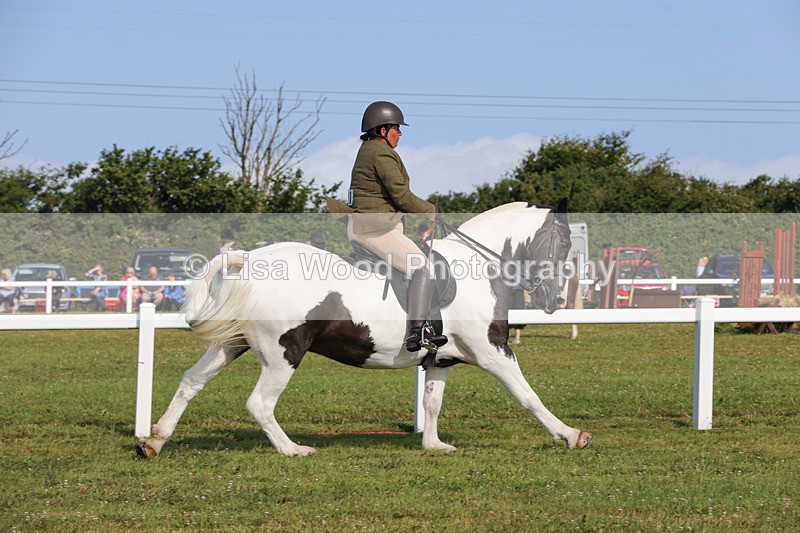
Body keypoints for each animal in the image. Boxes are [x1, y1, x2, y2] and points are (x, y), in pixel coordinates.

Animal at [137, 200, 593, 458]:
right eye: (564, 243)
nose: (553, 299)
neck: (478, 265)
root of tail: (250, 259)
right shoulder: (493, 350)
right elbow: (528, 395)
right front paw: (572, 435)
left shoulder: (442, 358)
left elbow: (432, 403)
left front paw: (433, 446)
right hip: (283, 353)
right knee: (259, 404)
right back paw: (293, 450)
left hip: (233, 345)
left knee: (191, 381)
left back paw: (154, 442)